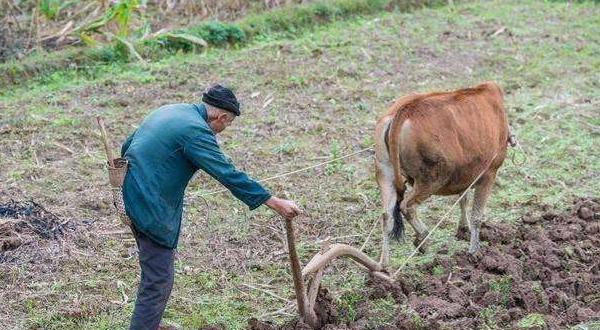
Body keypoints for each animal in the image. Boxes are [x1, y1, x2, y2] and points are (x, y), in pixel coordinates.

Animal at [376, 81, 510, 266]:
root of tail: (404, 110)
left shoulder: (467, 173)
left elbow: (463, 200)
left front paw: (463, 229)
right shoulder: (489, 173)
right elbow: (476, 215)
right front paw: (474, 252)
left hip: (385, 173)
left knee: (387, 216)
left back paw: (384, 264)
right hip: (430, 180)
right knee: (407, 206)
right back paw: (423, 238)